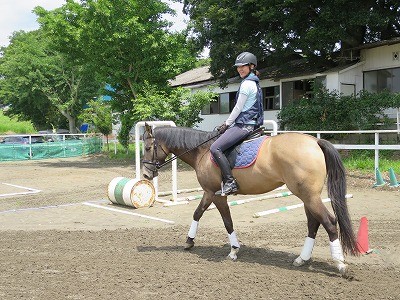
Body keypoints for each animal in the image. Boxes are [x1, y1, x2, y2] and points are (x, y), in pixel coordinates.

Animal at [141, 123, 360, 276]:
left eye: (148, 147)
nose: (145, 175)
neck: (202, 151)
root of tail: (315, 142)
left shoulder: (216, 195)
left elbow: (227, 221)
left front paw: (233, 250)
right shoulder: (209, 192)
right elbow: (197, 213)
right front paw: (189, 242)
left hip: (308, 195)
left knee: (329, 222)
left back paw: (340, 265)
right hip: (307, 196)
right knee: (314, 223)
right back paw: (302, 259)